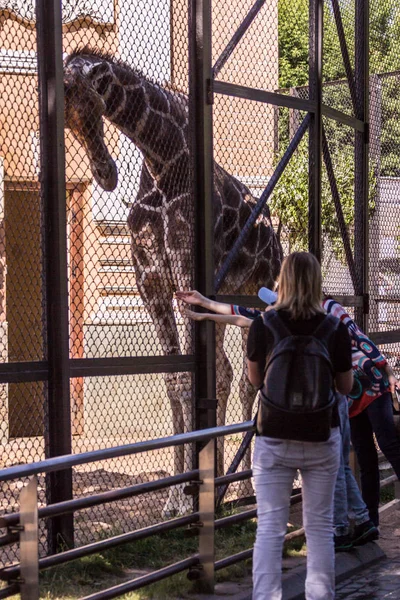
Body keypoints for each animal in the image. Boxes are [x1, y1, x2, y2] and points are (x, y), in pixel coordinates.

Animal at [64, 48, 282, 516]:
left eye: (92, 100)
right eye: (65, 117)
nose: (106, 174)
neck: (161, 161)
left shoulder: (184, 277)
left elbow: (194, 380)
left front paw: (190, 496)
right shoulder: (151, 284)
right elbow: (175, 380)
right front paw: (175, 498)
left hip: (257, 291)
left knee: (241, 378)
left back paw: (241, 487)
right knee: (225, 372)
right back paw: (222, 483)